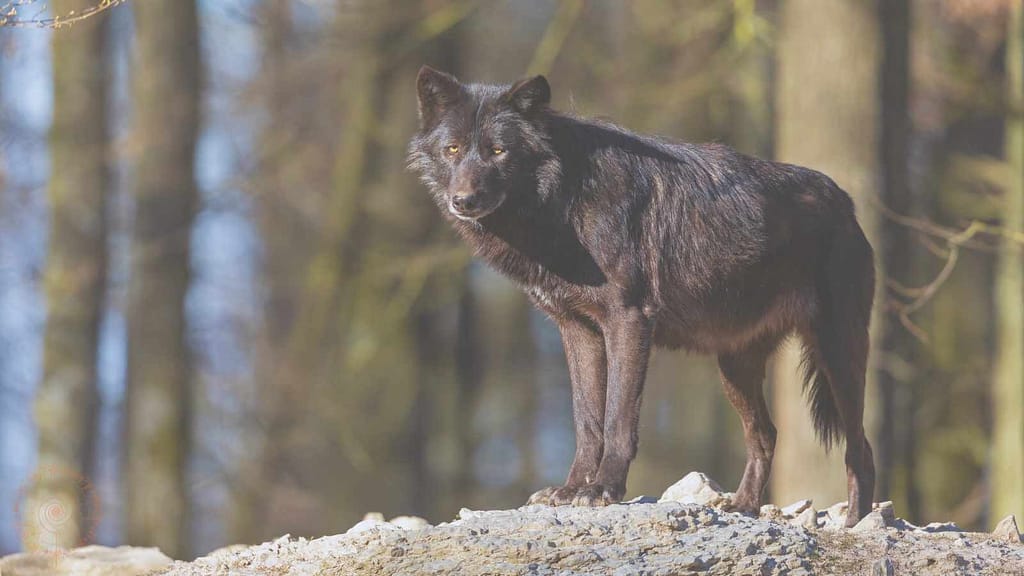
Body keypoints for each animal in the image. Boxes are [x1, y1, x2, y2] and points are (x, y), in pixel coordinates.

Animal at [407, 66, 876, 526]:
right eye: (452, 149)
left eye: (499, 151)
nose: (463, 201)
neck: (566, 199)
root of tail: (845, 202)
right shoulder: (577, 329)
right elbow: (587, 420)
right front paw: (570, 489)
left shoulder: (628, 320)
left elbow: (617, 417)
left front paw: (604, 489)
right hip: (735, 367)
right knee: (766, 435)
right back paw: (743, 507)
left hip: (838, 356)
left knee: (860, 446)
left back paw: (857, 522)